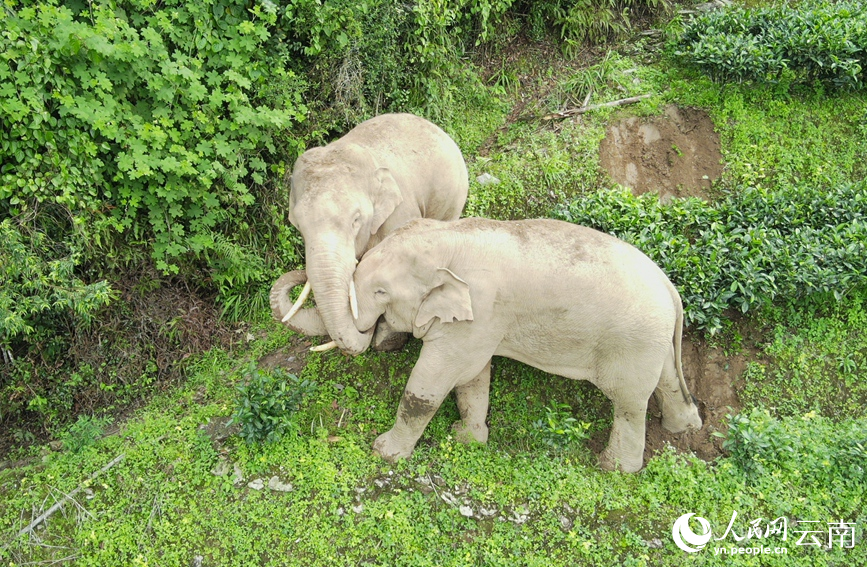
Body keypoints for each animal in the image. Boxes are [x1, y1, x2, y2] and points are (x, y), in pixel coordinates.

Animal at [270, 113, 469, 355]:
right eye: (298, 226)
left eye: (356, 220)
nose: (301, 274)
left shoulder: (400, 212)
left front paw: (386, 342)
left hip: (454, 193)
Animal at [351, 217, 703, 472]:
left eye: (381, 291)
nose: (378, 338)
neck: (448, 235)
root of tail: (671, 289)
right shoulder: (482, 324)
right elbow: (473, 376)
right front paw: (468, 439)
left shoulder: (479, 312)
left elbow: (435, 377)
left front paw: (384, 452)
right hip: (655, 342)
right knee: (667, 380)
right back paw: (684, 428)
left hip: (634, 342)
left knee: (629, 403)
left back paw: (613, 468)